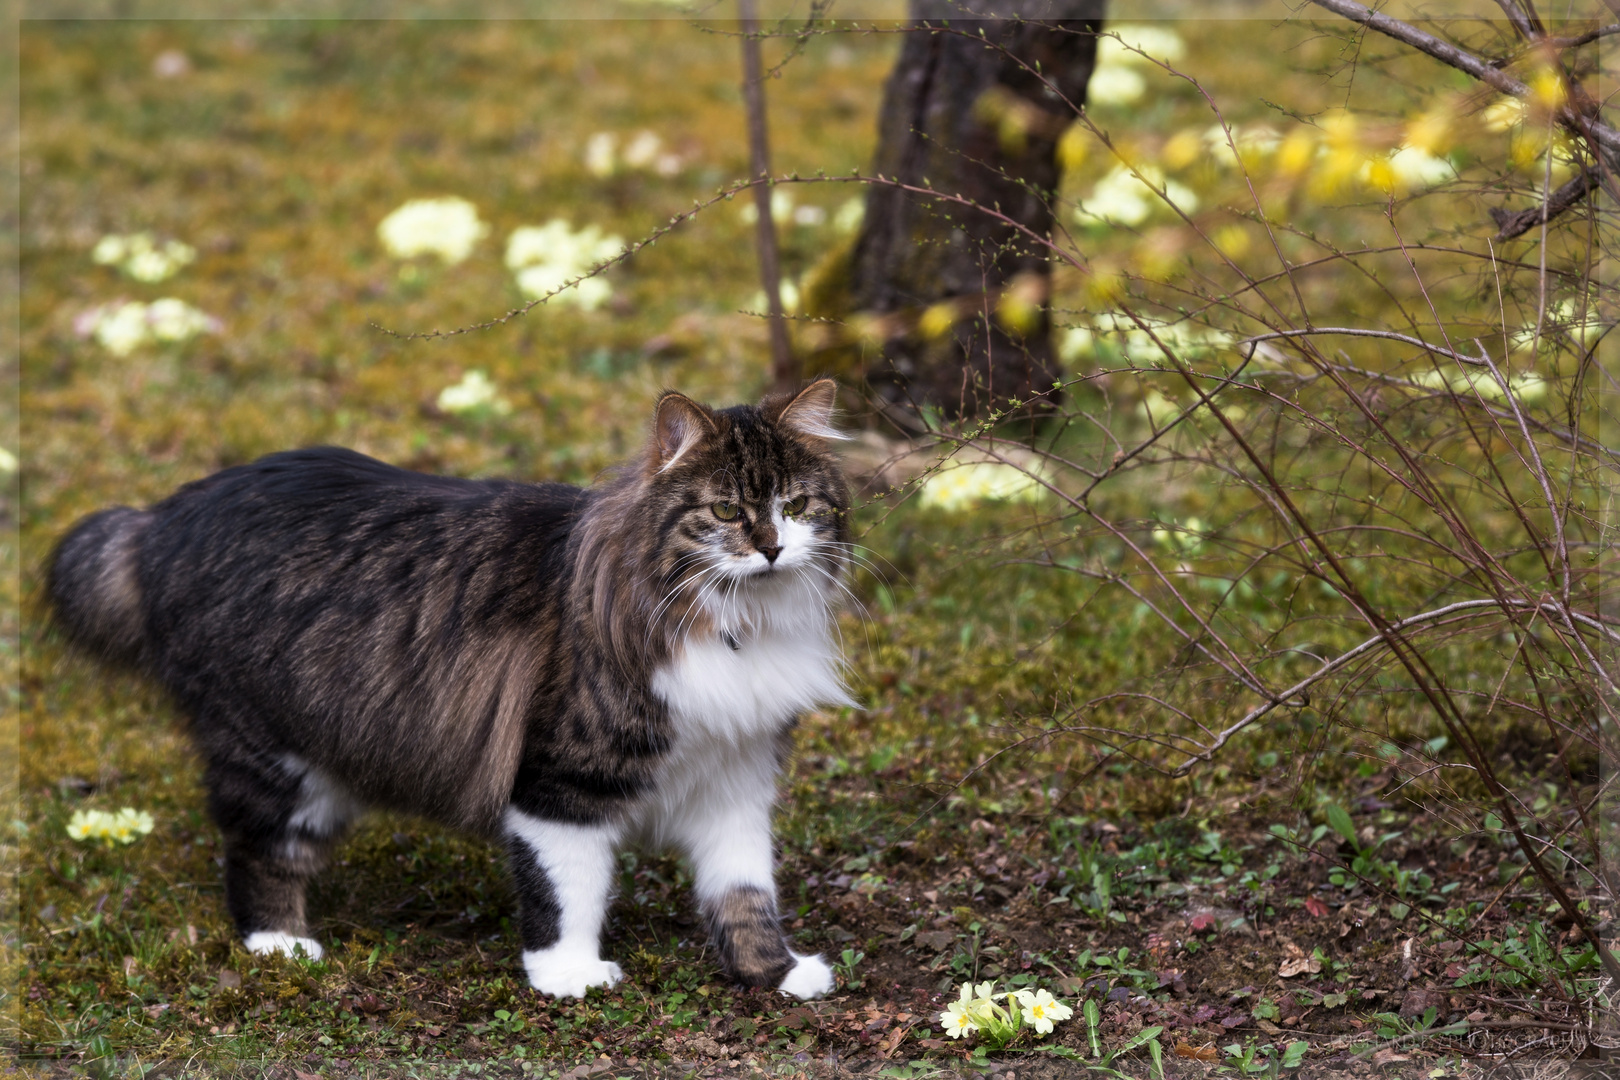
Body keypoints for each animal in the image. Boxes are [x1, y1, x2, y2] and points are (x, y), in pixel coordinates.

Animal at [47, 382, 861, 1003]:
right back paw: (282, 946)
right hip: (275, 758)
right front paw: (569, 977)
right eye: (725, 511)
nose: (770, 547)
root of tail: (163, 518)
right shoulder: (562, 782)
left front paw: (776, 974)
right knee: (255, 853)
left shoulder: (735, 779)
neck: (734, 625)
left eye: (796, 506)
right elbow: (568, 892)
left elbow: (745, 894)